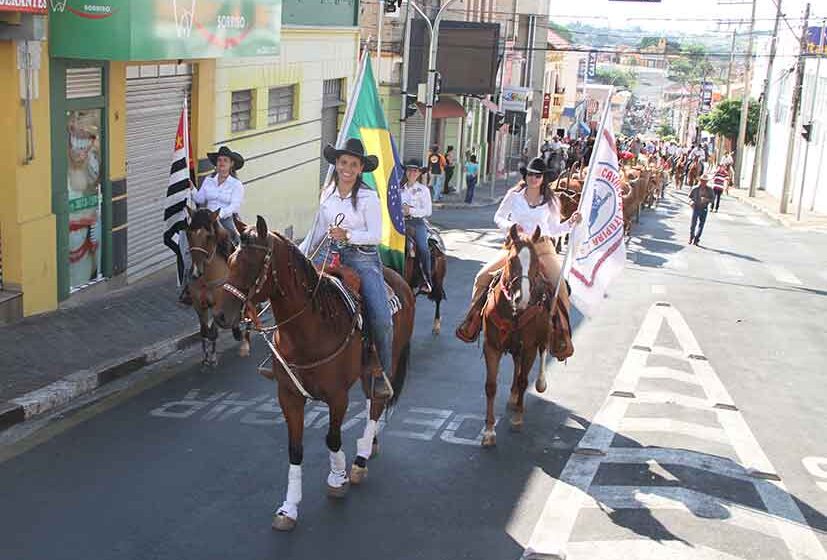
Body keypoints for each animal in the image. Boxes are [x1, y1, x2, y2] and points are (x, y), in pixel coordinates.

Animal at [186, 208, 251, 366]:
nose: (195, 272)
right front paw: (205, 358)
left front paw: (214, 357)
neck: (206, 278)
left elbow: (213, 331)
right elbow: (204, 331)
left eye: (208, 236)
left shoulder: (217, 305)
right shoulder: (199, 305)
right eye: (188, 233)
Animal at [213, 217, 414, 532]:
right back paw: (370, 444)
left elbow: (332, 439)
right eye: (231, 261)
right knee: (374, 400)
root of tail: (400, 280)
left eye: (252, 265)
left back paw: (360, 460)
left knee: (378, 401)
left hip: (387, 358)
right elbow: (295, 450)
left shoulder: (337, 396)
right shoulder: (288, 396)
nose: (221, 316)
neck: (309, 328)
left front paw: (337, 478)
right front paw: (289, 508)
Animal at [478, 223, 556, 446]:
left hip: (542, 336)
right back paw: (512, 396)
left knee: (541, 353)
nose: (522, 299)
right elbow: (491, 385)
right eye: (512, 260)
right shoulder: (491, 346)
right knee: (516, 363)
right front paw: (489, 431)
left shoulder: (529, 347)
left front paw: (518, 418)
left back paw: (539, 383)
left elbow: (523, 381)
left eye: (536, 261)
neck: (514, 312)